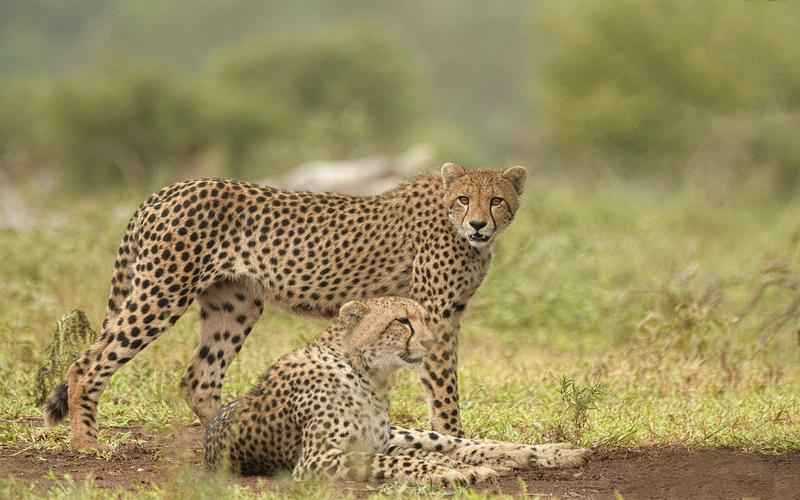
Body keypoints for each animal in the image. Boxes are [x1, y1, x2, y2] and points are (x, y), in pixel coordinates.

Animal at [47, 163, 528, 450]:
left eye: (496, 200)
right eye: (464, 198)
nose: (479, 224)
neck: (454, 225)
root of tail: (169, 189)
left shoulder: (446, 314)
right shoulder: (435, 313)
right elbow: (443, 386)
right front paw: (454, 437)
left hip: (235, 304)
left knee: (199, 379)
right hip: (162, 291)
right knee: (86, 364)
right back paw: (88, 445)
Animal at [202, 296, 588, 484]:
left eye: (424, 318)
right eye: (402, 321)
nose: (432, 342)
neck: (368, 373)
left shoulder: (372, 441)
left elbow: (413, 456)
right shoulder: (317, 459)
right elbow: (400, 460)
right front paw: (454, 472)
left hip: (403, 431)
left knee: (458, 442)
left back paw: (550, 453)